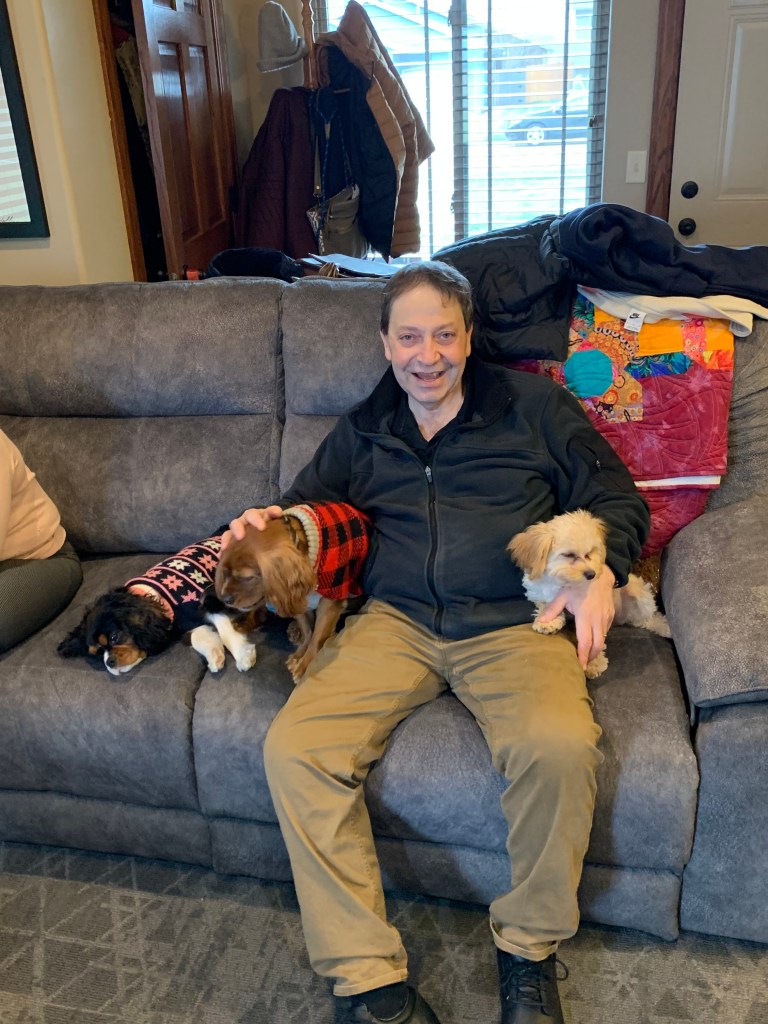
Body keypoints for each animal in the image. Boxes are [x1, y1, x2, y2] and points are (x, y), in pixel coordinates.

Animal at [57, 535, 265, 676]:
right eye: (98, 652)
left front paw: (243, 655)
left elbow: (224, 628)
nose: (109, 662)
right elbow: (196, 635)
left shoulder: (210, 597)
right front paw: (215, 655)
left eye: (115, 637)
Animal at [215, 502, 370, 683]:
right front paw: (300, 653)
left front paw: (305, 665)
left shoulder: (330, 602)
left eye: (247, 577)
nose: (225, 599)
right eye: (225, 573)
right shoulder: (296, 597)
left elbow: (317, 637)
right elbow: (307, 628)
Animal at [507, 509, 671, 678]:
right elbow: (546, 604)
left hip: (639, 596)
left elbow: (591, 640)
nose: (591, 574)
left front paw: (594, 663)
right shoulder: (538, 591)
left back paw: (664, 626)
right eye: (569, 555)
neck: (563, 582)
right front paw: (547, 621)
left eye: (589, 553)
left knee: (648, 618)